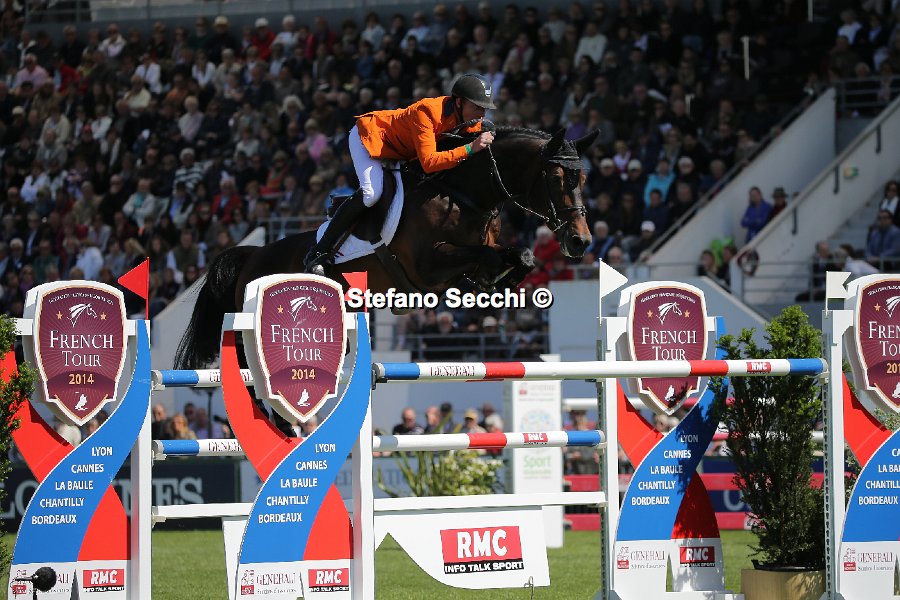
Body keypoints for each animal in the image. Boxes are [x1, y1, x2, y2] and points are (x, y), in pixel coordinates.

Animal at [175, 126, 598, 370]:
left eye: (582, 178)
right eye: (556, 177)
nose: (580, 241)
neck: (463, 195)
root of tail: (252, 257)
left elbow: (517, 256)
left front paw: (503, 280)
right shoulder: (426, 267)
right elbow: (484, 256)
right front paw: (496, 275)